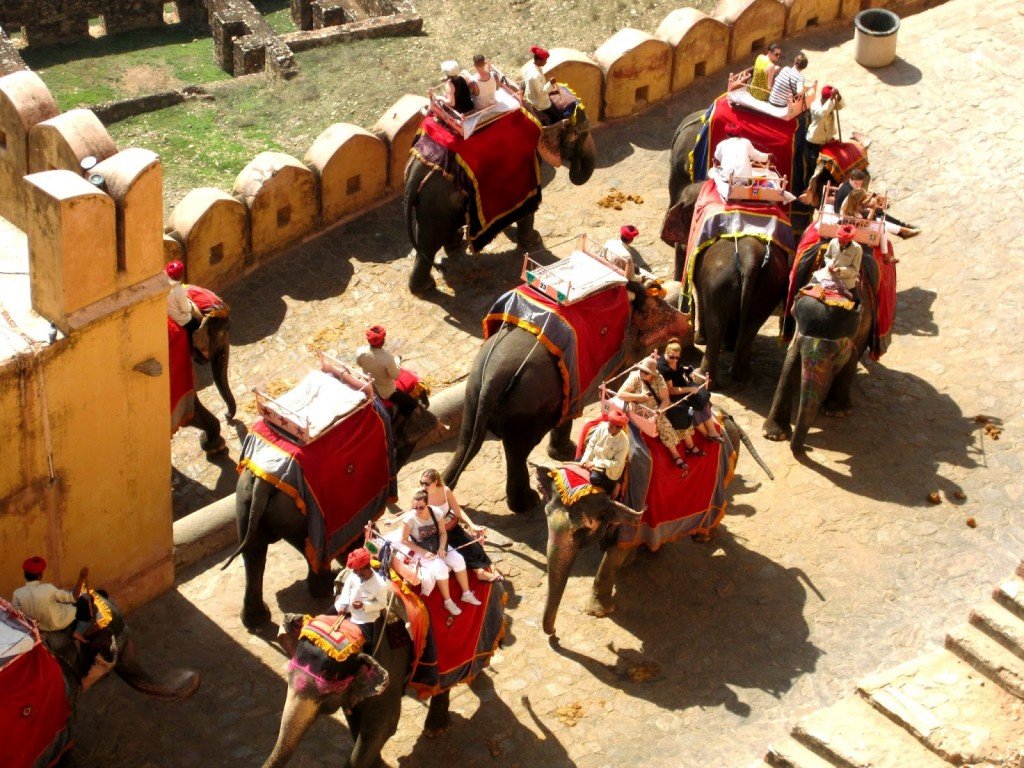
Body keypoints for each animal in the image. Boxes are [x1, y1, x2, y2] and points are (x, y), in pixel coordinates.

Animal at [226, 399, 438, 626]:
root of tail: (263, 483)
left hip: (245, 499)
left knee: (253, 552)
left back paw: (257, 620)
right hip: (298, 515)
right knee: (305, 550)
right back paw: (324, 588)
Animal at [401, 102, 598, 294]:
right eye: (580, 133)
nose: (574, 160)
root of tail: (417, 170)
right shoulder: (529, 161)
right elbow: (529, 203)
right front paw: (534, 240)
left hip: (432, 200)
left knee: (428, 236)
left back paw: (452, 247)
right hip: (437, 199)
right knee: (429, 241)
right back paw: (426, 286)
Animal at [442, 280, 692, 514]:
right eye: (658, 303)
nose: (688, 322)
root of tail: (493, 378)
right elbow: (613, 386)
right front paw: (570, 451)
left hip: (475, 390)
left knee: (468, 439)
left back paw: (447, 485)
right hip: (528, 405)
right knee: (518, 452)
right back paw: (528, 503)